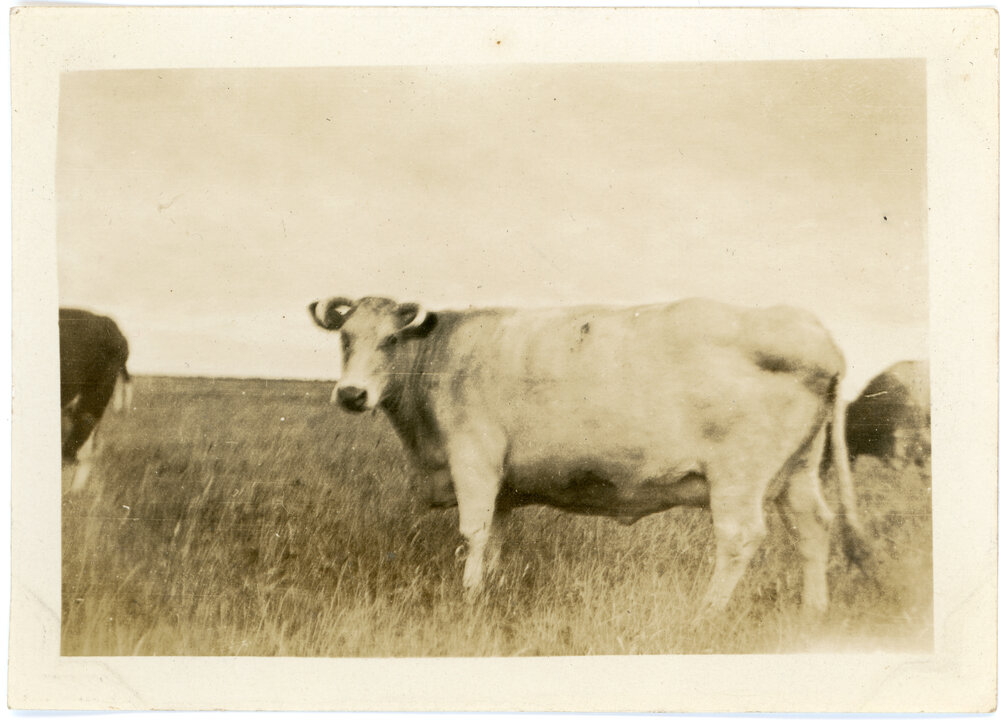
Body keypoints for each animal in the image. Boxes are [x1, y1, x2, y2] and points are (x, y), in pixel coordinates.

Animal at [309, 295, 869, 616]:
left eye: (391, 339)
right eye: (345, 338)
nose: (352, 394)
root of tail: (815, 332)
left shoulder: (474, 456)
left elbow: (474, 531)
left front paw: (467, 598)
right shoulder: (503, 483)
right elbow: (497, 537)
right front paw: (490, 590)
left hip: (739, 472)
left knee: (740, 537)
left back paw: (706, 613)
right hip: (797, 469)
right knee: (813, 525)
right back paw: (813, 609)